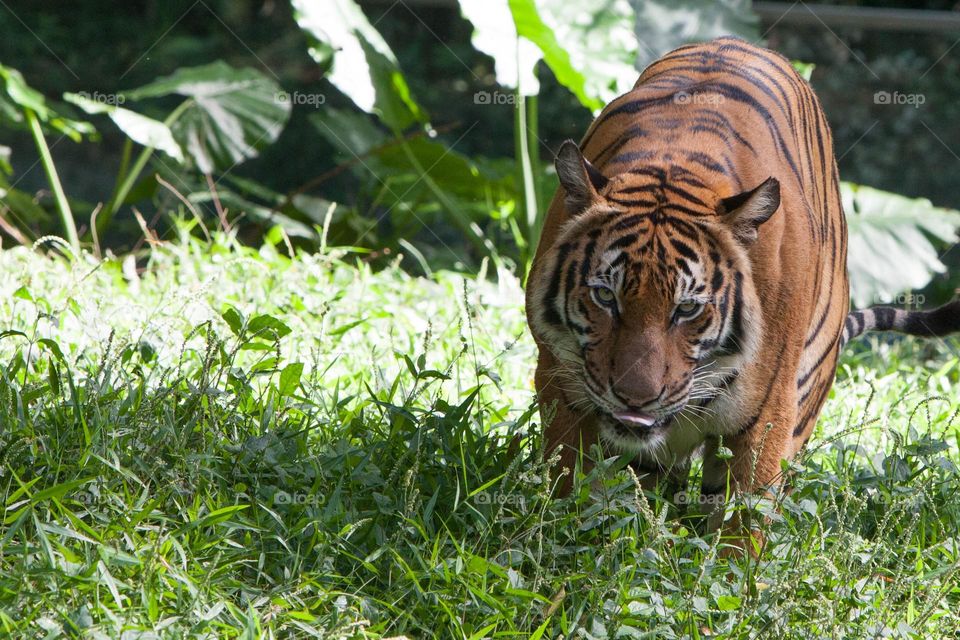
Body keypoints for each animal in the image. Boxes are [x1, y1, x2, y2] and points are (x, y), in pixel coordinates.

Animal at [525, 36, 960, 544]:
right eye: (604, 297)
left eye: (687, 309)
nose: (635, 400)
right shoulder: (561, 381)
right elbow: (566, 481)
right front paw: (558, 540)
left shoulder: (767, 414)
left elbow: (744, 521)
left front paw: (731, 565)